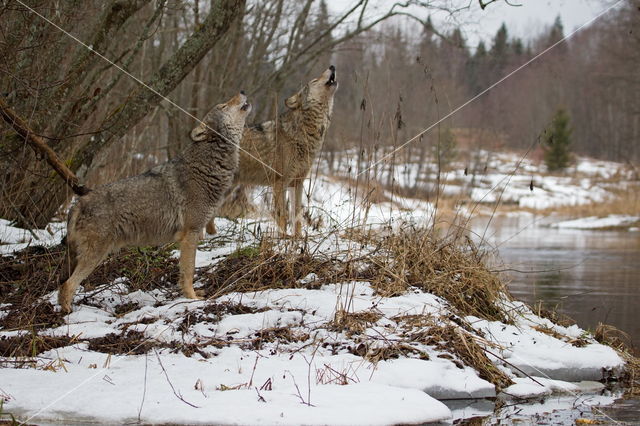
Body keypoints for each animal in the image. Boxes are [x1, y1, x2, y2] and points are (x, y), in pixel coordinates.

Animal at [57, 92, 251, 312]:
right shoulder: (190, 234)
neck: (206, 166)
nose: (242, 91)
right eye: (224, 105)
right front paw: (192, 298)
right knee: (67, 285)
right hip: (96, 255)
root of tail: (78, 203)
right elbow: (189, 271)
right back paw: (69, 313)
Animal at [206, 65, 338, 236]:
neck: (305, 133)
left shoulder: (297, 183)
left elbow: (297, 216)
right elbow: (282, 216)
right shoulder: (280, 183)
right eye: (315, 80)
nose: (332, 66)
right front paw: (283, 239)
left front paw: (298, 239)